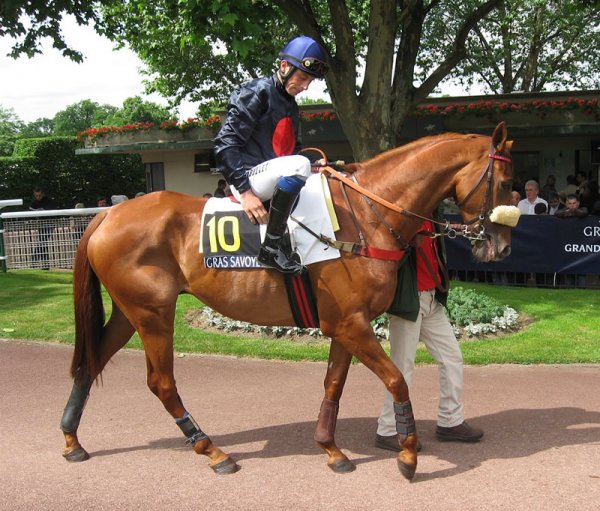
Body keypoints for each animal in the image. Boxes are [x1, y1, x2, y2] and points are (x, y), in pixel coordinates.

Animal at [58, 122, 512, 482]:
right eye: (507, 181)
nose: (503, 247)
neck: (365, 215)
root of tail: (110, 214)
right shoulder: (350, 323)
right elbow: (397, 380)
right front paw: (408, 454)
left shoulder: (346, 323)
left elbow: (333, 384)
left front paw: (331, 449)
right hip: (153, 313)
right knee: (161, 382)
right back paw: (212, 450)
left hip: (129, 311)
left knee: (91, 362)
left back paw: (71, 440)